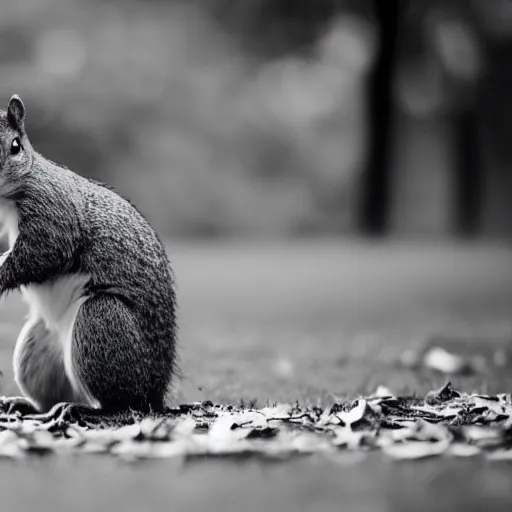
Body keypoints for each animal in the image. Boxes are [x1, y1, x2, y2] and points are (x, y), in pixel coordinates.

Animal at [0, 96, 178, 414]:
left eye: (15, 146)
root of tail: (155, 395)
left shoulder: (53, 212)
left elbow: (44, 251)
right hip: (36, 348)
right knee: (50, 395)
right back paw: (26, 405)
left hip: (101, 320)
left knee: (118, 404)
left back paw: (81, 409)